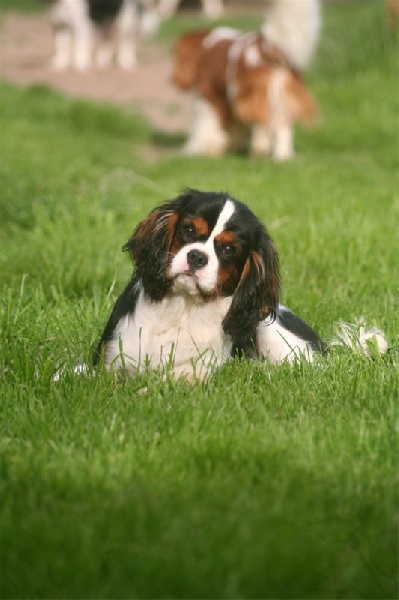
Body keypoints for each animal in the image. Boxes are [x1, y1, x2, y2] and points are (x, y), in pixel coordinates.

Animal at [172, 0, 322, 161]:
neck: (207, 47)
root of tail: (265, 45)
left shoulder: (210, 99)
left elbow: (205, 129)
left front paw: (197, 150)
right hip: (281, 97)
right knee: (282, 126)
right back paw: (282, 157)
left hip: (255, 97)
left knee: (263, 123)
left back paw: (259, 152)